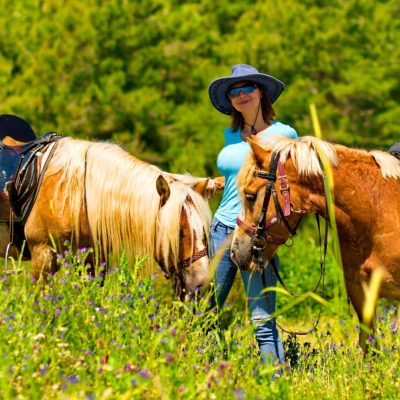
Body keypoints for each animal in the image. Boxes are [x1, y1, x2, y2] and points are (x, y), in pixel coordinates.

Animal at [5, 137, 219, 296]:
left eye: (204, 231)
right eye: (180, 232)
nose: (203, 284)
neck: (74, 194)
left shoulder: (93, 260)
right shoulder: (43, 256)